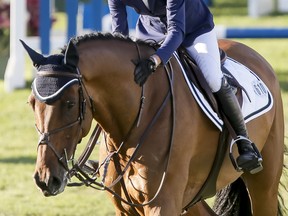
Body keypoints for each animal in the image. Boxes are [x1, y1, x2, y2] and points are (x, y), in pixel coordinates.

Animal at [23, 32, 286, 216]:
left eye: (69, 103)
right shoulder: (126, 208)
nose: (45, 179)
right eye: (31, 103)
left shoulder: (163, 204)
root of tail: (251, 53)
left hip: (264, 183)